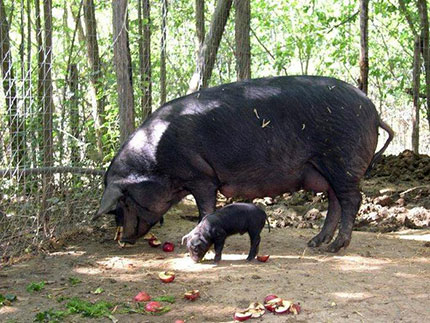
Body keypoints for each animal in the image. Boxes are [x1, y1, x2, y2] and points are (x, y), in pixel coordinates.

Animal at [94, 76, 394, 253]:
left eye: (123, 202)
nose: (122, 240)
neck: (156, 163)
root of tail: (373, 110)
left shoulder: (201, 176)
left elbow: (206, 207)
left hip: (342, 160)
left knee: (352, 199)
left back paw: (335, 248)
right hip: (326, 168)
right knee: (335, 201)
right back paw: (315, 243)